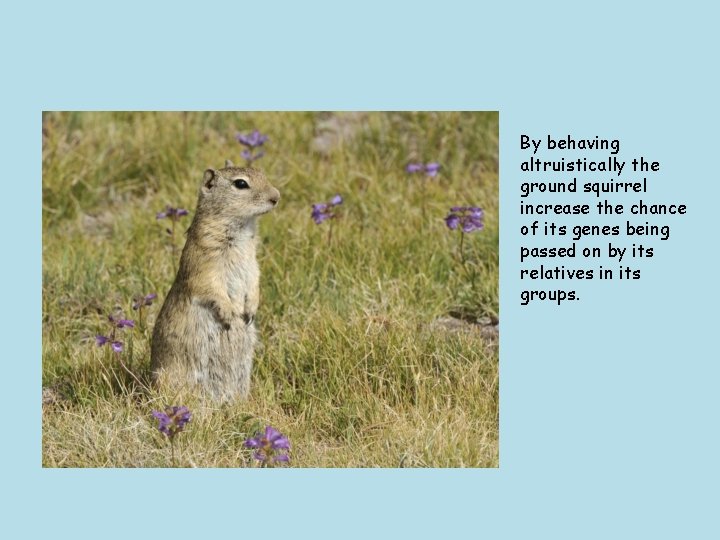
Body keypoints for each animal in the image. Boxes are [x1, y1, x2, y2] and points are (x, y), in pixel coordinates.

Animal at [151, 160, 280, 402]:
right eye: (240, 184)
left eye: (261, 172)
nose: (276, 196)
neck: (241, 228)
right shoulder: (205, 264)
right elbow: (211, 288)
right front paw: (230, 315)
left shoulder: (252, 264)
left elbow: (254, 282)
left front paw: (250, 311)